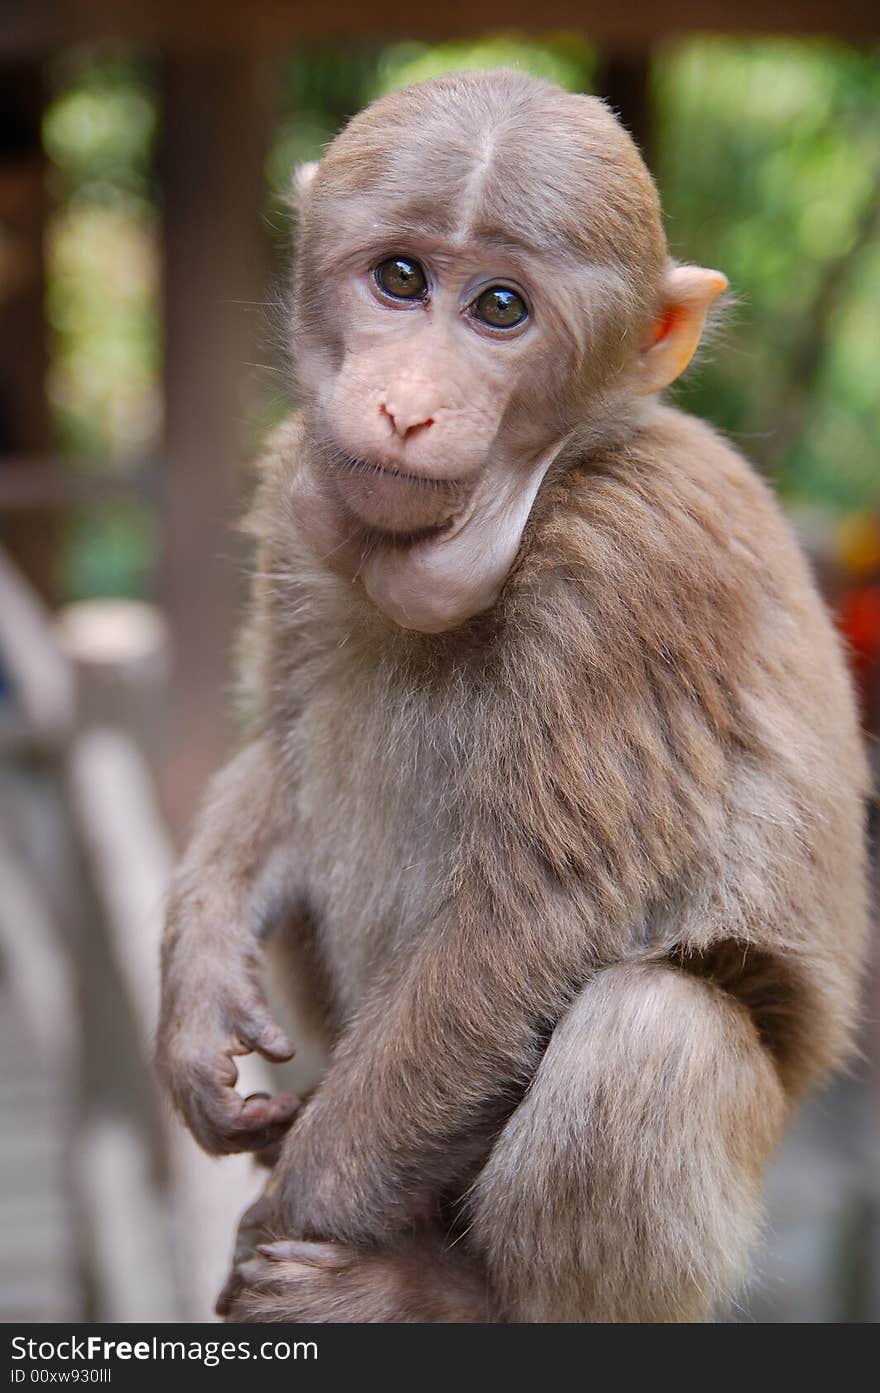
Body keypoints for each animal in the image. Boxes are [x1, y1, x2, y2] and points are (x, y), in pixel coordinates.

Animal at [154, 67, 868, 1326]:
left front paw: (281, 1227)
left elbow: (535, 915)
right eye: (399, 279)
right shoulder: (295, 492)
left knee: (652, 1028)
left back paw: (447, 1295)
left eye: (499, 309)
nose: (405, 404)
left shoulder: (630, 568)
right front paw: (198, 989)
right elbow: (276, 755)